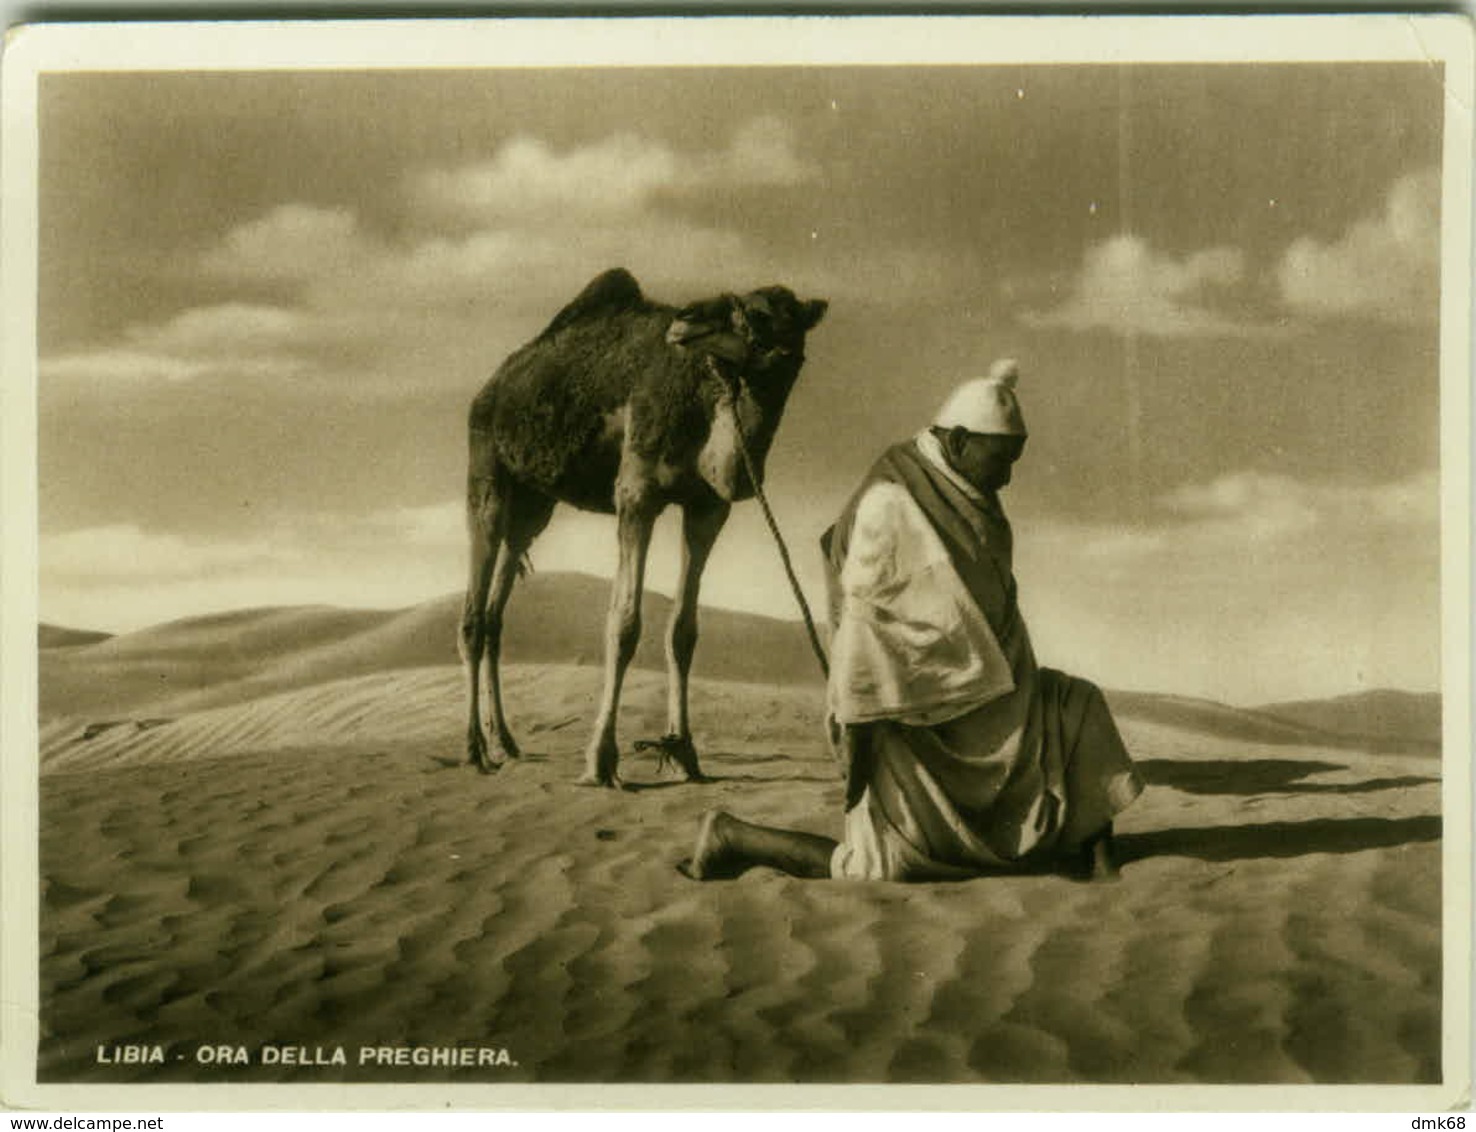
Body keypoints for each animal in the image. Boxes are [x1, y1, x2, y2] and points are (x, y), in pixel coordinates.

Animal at [460, 271, 826, 791]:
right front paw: (600, 761)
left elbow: (682, 632)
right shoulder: (636, 492)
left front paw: (684, 754)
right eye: (741, 303)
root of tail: (490, 388)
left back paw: (506, 741)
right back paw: (474, 750)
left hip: (533, 502)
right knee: (474, 613)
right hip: (486, 468)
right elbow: (624, 624)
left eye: (753, 312)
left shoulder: (707, 507)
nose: (686, 319)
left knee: (497, 609)